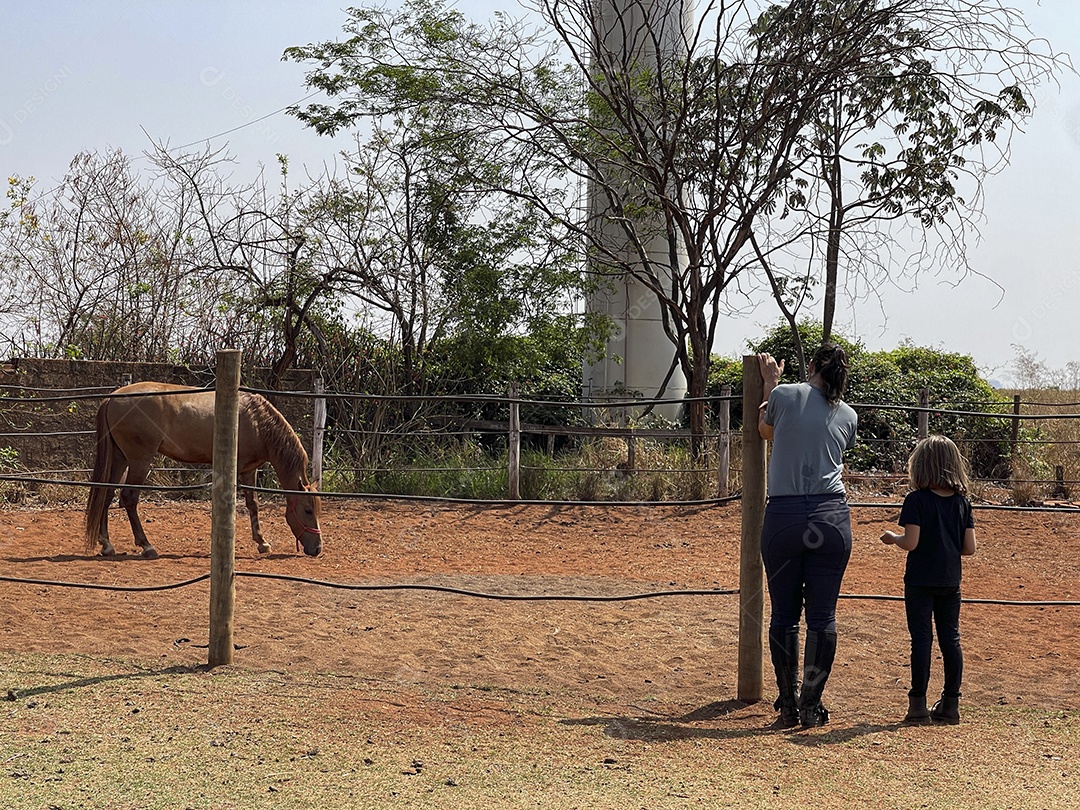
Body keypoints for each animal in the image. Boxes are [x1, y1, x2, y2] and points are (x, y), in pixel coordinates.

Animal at [84, 382, 322, 559]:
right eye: (307, 511)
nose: (317, 548)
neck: (256, 421)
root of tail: (112, 397)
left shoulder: (249, 470)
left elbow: (253, 504)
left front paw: (262, 542)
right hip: (139, 460)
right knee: (129, 498)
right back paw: (147, 546)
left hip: (120, 458)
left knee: (106, 494)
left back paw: (107, 545)